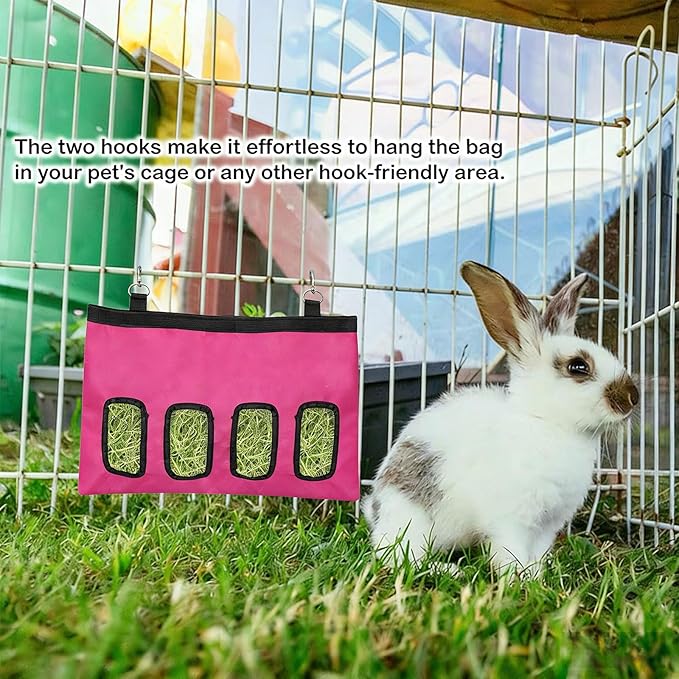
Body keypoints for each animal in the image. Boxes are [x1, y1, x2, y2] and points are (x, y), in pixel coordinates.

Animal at [363, 261, 639, 579]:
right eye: (578, 367)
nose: (633, 397)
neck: (546, 422)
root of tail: (374, 510)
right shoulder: (511, 520)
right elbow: (510, 550)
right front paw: (517, 576)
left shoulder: (547, 526)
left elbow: (538, 553)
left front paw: (537, 575)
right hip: (411, 519)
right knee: (400, 556)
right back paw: (450, 571)